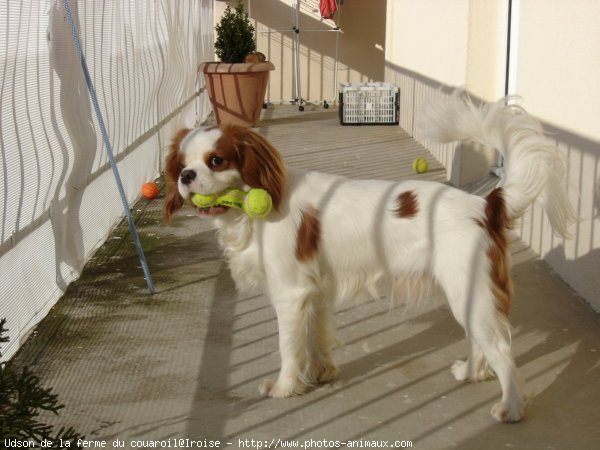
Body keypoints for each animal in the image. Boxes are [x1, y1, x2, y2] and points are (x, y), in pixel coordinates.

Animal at [164, 91, 576, 422]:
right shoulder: (315, 291)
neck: (255, 206)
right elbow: (316, 336)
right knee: (480, 339)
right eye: (181, 163)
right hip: (467, 292)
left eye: (215, 161)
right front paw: (320, 373)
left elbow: (288, 346)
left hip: (468, 289)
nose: (186, 176)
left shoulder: (290, 293)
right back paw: (472, 373)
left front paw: (284, 387)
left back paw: (512, 408)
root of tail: (487, 205)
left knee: (502, 350)